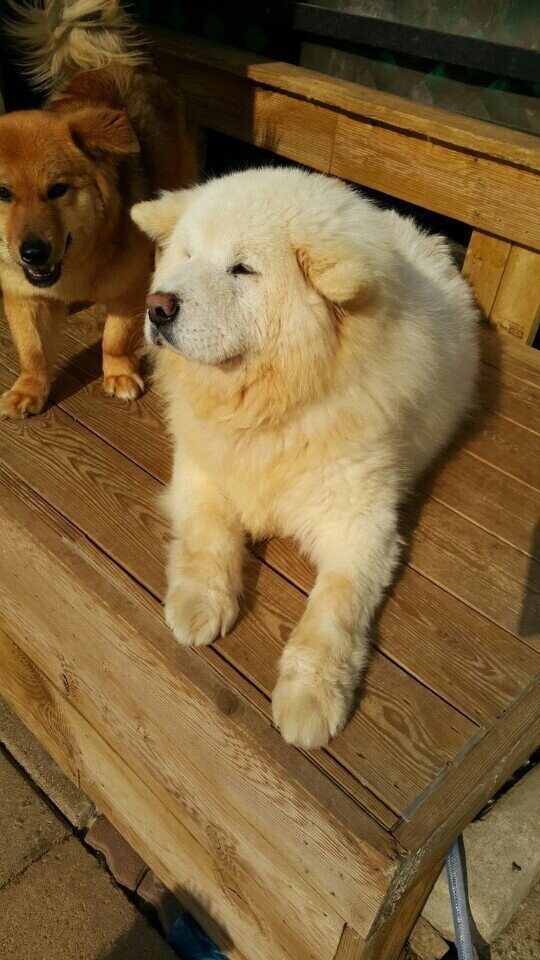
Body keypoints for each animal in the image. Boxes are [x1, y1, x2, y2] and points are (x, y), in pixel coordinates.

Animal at [0, 2, 194, 416]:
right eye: (3, 193)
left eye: (58, 189)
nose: (32, 252)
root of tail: (118, 62)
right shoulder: (22, 295)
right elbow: (32, 349)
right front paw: (29, 389)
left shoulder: (128, 288)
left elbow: (114, 337)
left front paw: (118, 374)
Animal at [133, 167, 478, 752]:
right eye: (186, 254)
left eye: (242, 268)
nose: (158, 305)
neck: (271, 410)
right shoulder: (201, 471)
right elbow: (207, 537)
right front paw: (200, 603)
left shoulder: (360, 526)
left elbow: (333, 610)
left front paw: (310, 697)